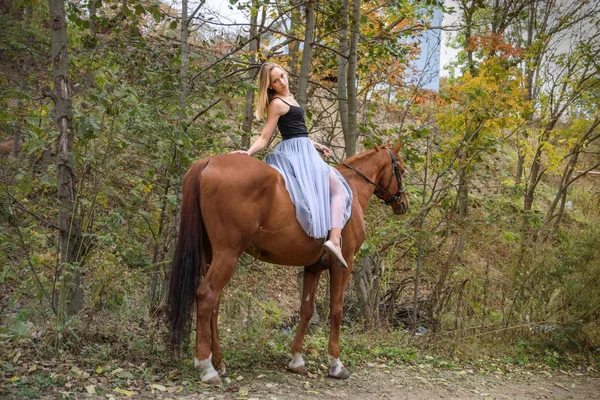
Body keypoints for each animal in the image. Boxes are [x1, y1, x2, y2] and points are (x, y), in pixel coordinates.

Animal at [169, 141, 408, 384]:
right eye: (401, 169)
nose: (403, 203)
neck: (352, 189)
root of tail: (209, 161)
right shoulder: (344, 266)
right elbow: (336, 310)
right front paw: (336, 363)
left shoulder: (313, 267)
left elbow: (307, 309)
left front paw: (297, 359)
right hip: (228, 254)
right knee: (207, 295)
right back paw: (207, 367)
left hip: (209, 255)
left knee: (214, 303)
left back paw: (218, 362)